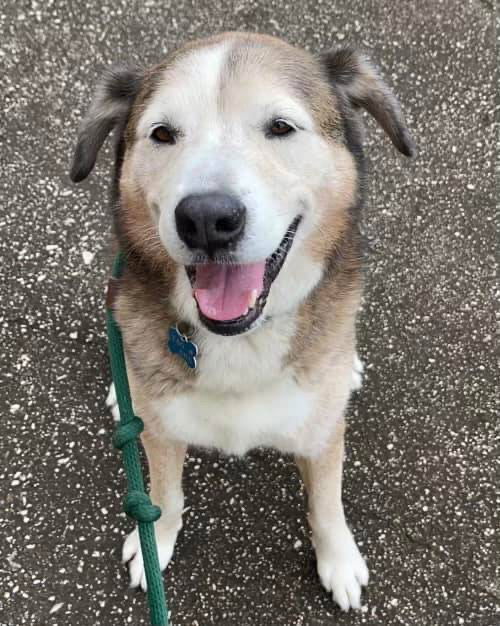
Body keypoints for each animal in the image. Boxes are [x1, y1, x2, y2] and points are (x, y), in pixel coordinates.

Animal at [70, 30, 414, 608]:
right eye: (163, 134)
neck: (240, 339)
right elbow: (165, 496)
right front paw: (155, 543)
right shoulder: (163, 435)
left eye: (280, 127)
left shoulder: (322, 435)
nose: (207, 219)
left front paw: (339, 561)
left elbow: (327, 505)